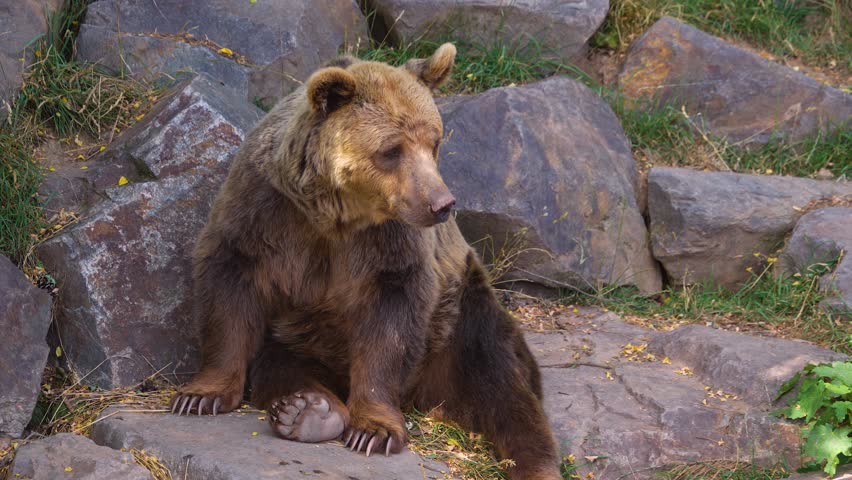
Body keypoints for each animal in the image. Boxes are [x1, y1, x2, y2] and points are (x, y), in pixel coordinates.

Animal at [170, 43, 561, 479]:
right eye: (392, 149)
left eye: (434, 142)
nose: (441, 204)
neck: (335, 215)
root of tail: (423, 392)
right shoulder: (266, 209)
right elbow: (230, 284)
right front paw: (200, 395)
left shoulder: (389, 244)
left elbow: (391, 320)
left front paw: (374, 429)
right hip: (299, 334)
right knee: (279, 364)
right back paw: (308, 410)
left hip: (461, 314)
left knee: (502, 382)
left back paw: (537, 463)